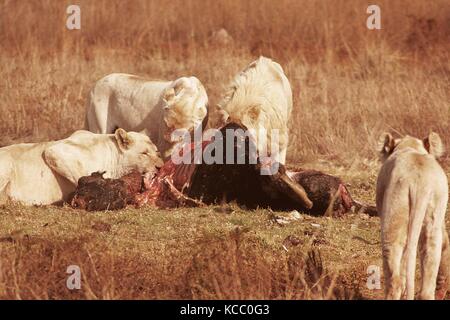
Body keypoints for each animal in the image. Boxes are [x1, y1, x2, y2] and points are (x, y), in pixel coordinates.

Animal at [0, 129, 163, 206]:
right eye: (144, 153)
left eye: (156, 151)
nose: (160, 167)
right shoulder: (55, 150)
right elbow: (82, 177)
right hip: (6, 164)